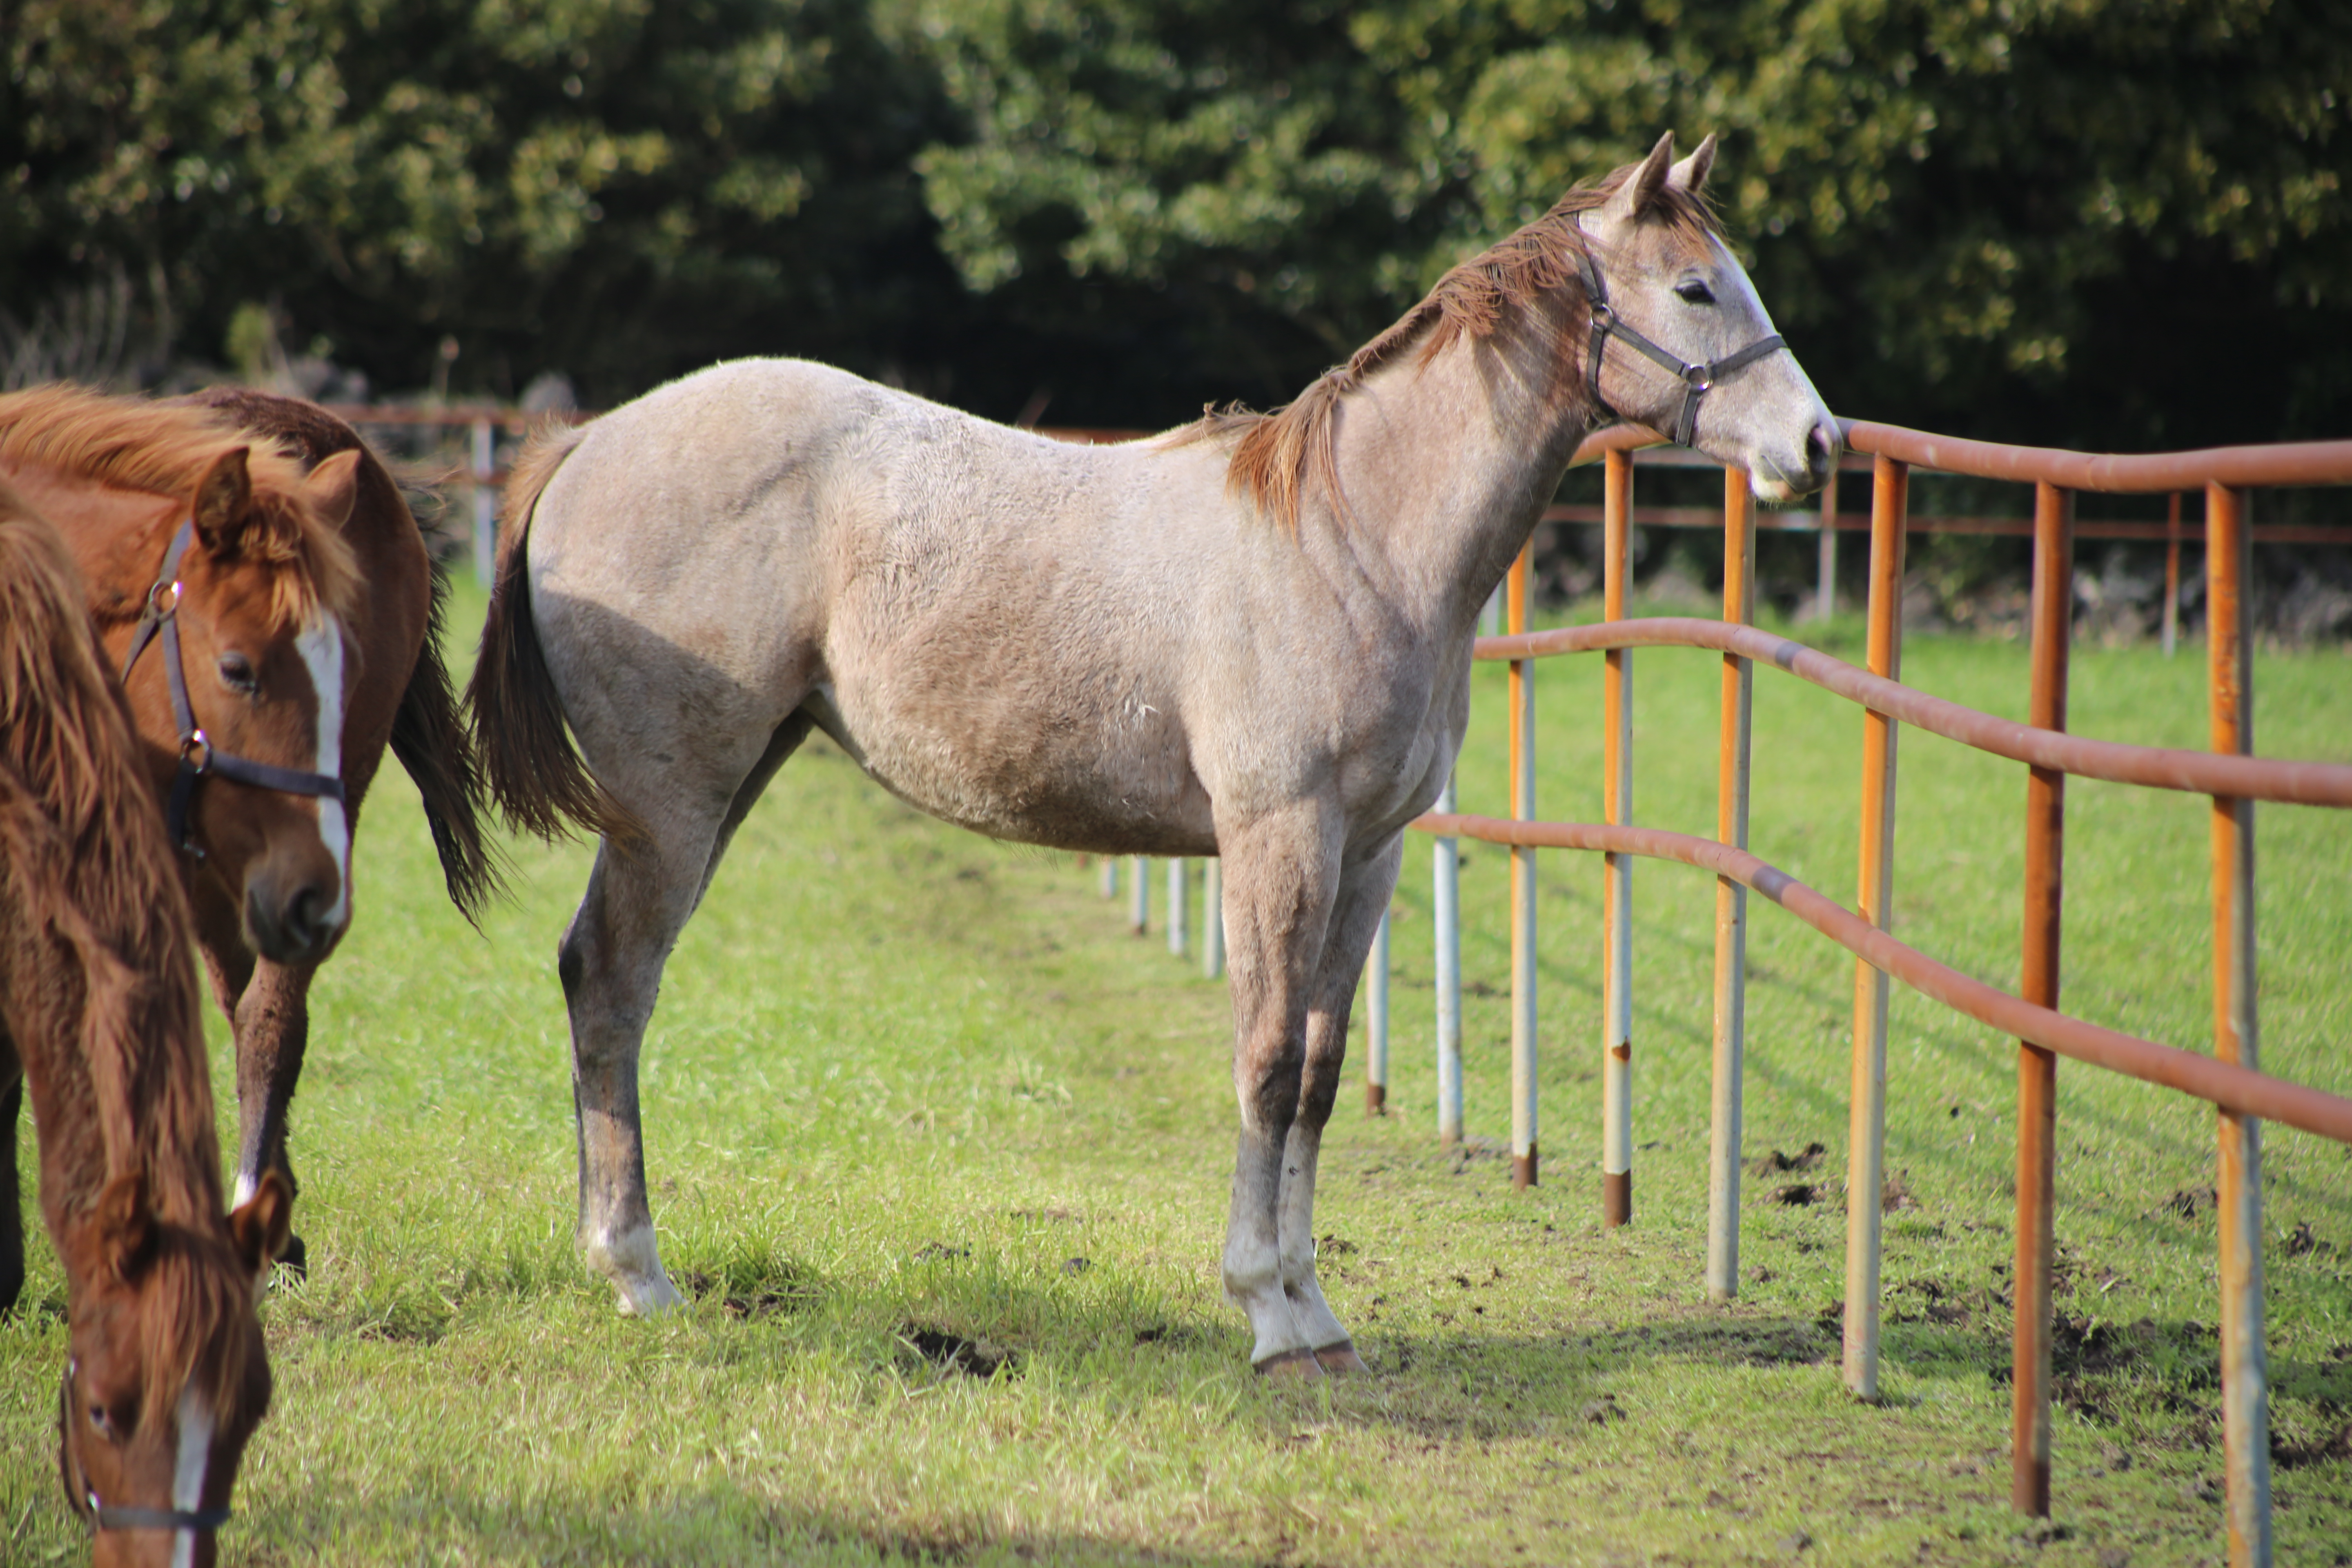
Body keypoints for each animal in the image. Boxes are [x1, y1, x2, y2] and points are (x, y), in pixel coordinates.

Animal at [472, 131, 1834, 1373]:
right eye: (1697, 289)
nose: (1817, 445)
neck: (1354, 536)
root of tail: (589, 442)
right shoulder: (1279, 837)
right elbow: (1267, 1063)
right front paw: (1267, 1314)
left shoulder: (1372, 853)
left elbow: (1321, 1074)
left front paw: (1317, 1312)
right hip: (670, 801)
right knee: (612, 983)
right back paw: (637, 1273)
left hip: (733, 779)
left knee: (606, 981)